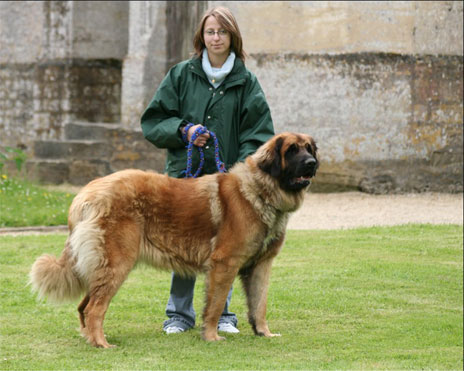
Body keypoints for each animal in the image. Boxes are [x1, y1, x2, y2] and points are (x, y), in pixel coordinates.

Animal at [29, 133, 320, 348]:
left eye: (309, 149)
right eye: (291, 150)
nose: (312, 164)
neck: (260, 191)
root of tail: (86, 192)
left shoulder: (260, 265)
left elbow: (259, 304)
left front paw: (264, 333)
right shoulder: (224, 264)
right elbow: (215, 306)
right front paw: (211, 337)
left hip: (101, 267)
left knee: (84, 306)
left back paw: (91, 339)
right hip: (117, 263)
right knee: (94, 309)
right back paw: (102, 343)